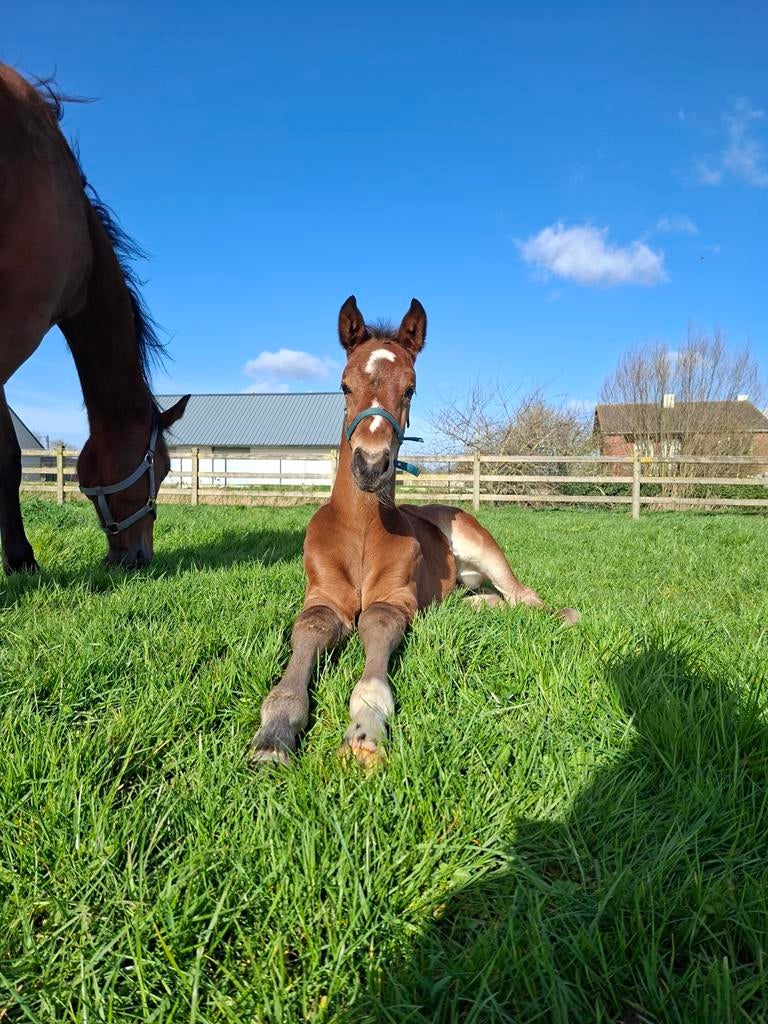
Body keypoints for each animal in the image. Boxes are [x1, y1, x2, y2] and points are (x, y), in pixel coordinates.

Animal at [248, 296, 579, 767]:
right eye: (344, 385)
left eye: (410, 388)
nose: (371, 465)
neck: (362, 532)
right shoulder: (323, 595)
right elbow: (310, 628)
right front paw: (273, 735)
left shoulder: (395, 596)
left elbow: (377, 622)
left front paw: (365, 729)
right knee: (487, 600)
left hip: (484, 548)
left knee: (522, 596)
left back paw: (562, 615)